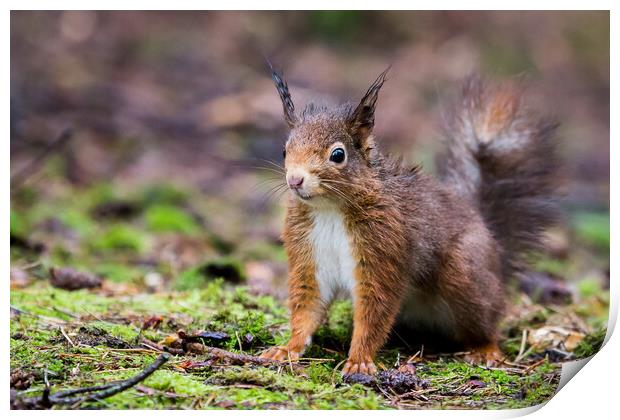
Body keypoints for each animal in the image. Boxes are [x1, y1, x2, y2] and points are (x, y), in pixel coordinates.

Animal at [260, 68, 560, 374]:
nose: (295, 180)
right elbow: (307, 305)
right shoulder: (309, 254)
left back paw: (485, 349)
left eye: (338, 154)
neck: (329, 210)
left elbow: (374, 308)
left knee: (487, 319)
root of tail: (493, 246)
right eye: (284, 150)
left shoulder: (383, 250)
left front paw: (359, 360)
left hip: (465, 274)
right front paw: (287, 348)